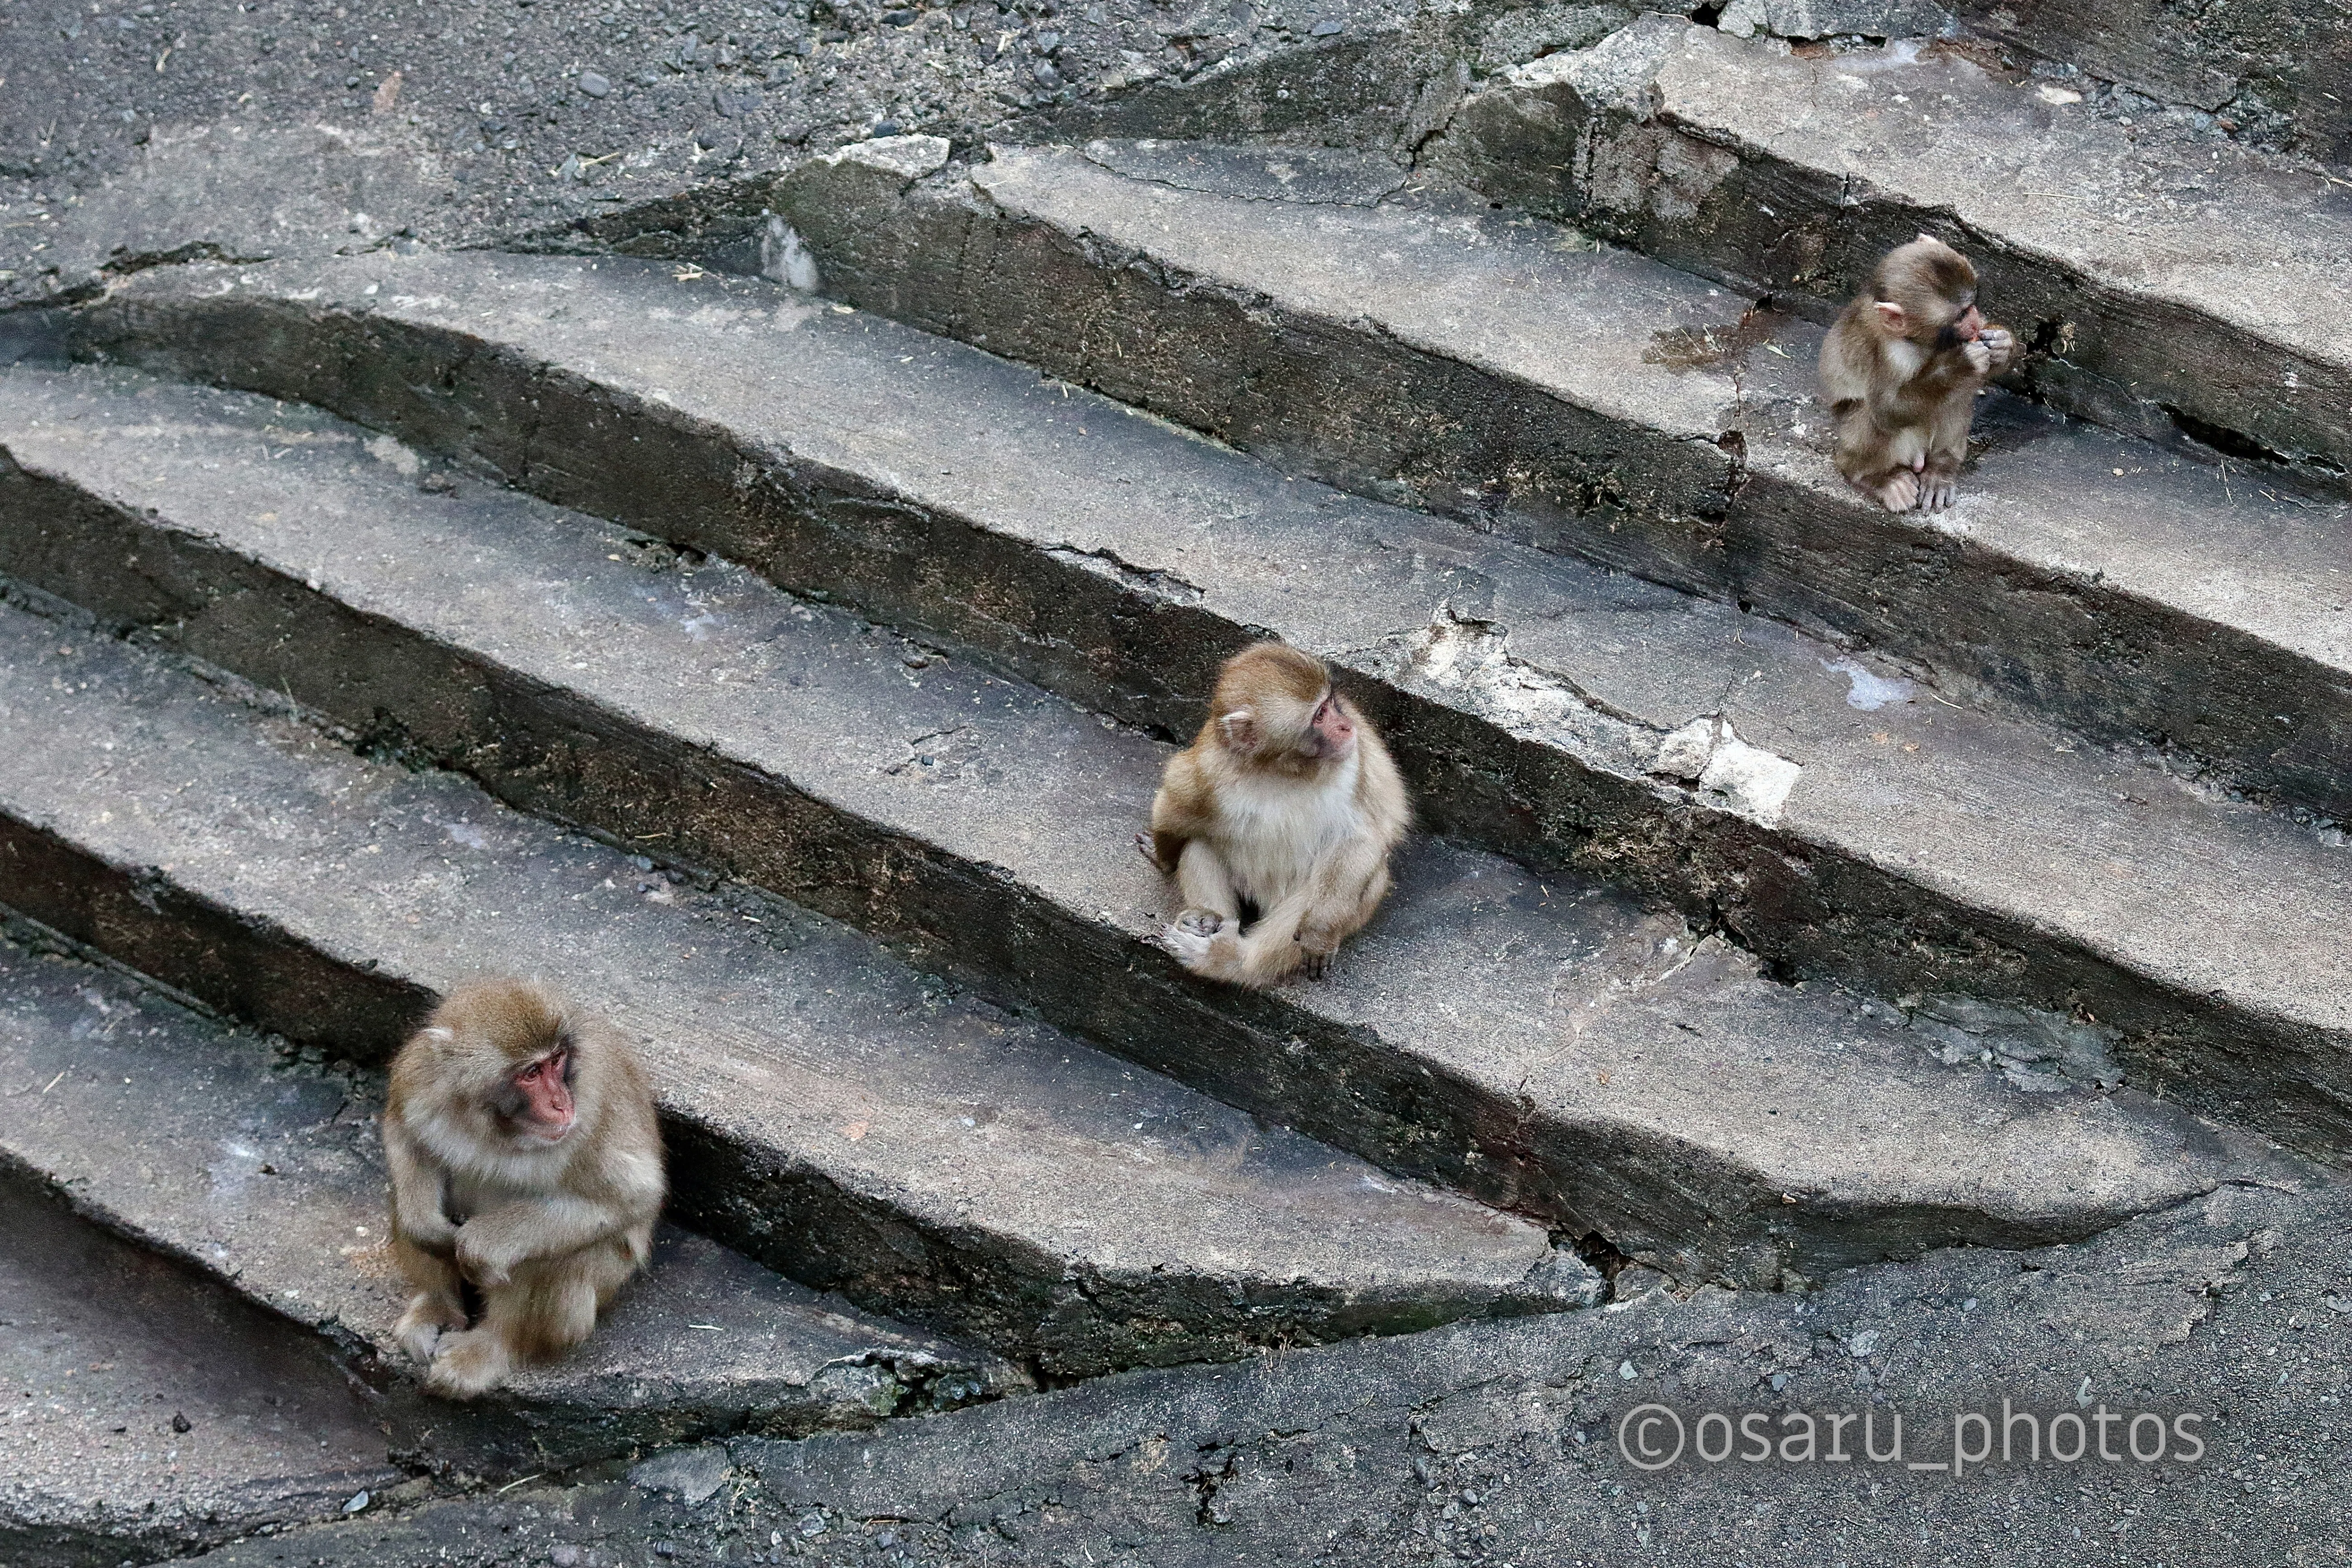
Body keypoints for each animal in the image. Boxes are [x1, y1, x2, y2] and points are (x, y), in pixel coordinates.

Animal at [383, 978, 665, 1398]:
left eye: (557, 1060)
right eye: (531, 1072)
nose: (562, 1103)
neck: (491, 1123)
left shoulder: (591, 1111)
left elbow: (629, 1197)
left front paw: (481, 1244)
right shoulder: (418, 1075)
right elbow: (405, 1135)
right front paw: (426, 1227)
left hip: (603, 1282)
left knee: (559, 1257)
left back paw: (492, 1346)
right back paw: (437, 1304)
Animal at [1136, 642, 1410, 989]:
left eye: (1331, 705)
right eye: (1321, 715)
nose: (1347, 727)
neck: (1282, 769)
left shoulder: (1353, 764)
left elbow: (1359, 838)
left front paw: (1319, 931)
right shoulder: (1208, 769)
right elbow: (1174, 804)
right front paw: (1162, 857)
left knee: (1362, 880)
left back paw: (1233, 962)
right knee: (1200, 841)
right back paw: (1206, 918)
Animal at [1819, 233, 2018, 513]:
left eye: (1973, 306)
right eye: (1960, 315)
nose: (1975, 321)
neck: (1919, 340)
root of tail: (1916, 457)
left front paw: (2003, 345)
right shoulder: (1894, 354)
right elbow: (1888, 410)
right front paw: (1961, 363)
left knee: (1956, 395)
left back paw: (1941, 469)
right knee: (1870, 416)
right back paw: (1876, 478)